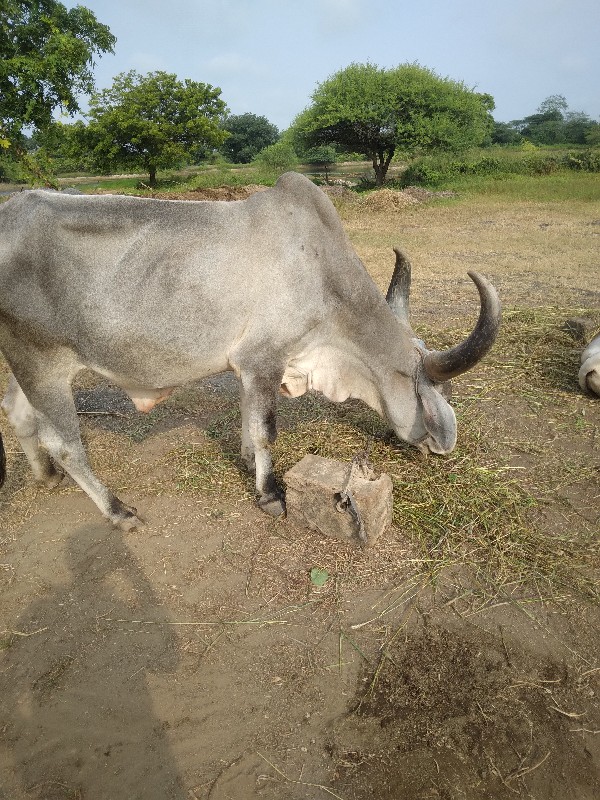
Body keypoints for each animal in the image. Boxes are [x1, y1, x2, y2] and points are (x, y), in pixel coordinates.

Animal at [0, 172, 502, 528]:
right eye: (430, 389)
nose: (439, 446)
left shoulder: (248, 367)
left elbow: (247, 419)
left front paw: (245, 459)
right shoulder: (263, 359)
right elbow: (266, 431)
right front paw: (270, 494)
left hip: (24, 364)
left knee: (19, 415)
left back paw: (45, 476)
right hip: (43, 364)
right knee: (65, 445)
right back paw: (117, 510)